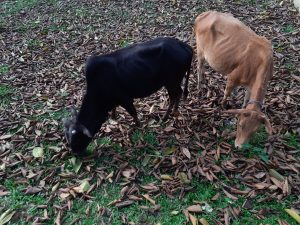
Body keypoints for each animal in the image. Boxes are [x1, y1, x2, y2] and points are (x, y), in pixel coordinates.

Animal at [195, 11, 274, 148]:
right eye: (240, 125)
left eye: (254, 132)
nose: (239, 146)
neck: (262, 62)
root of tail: (204, 14)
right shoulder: (232, 77)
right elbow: (226, 93)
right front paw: (222, 105)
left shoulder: (250, 86)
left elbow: (246, 100)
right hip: (200, 50)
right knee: (199, 67)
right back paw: (200, 86)